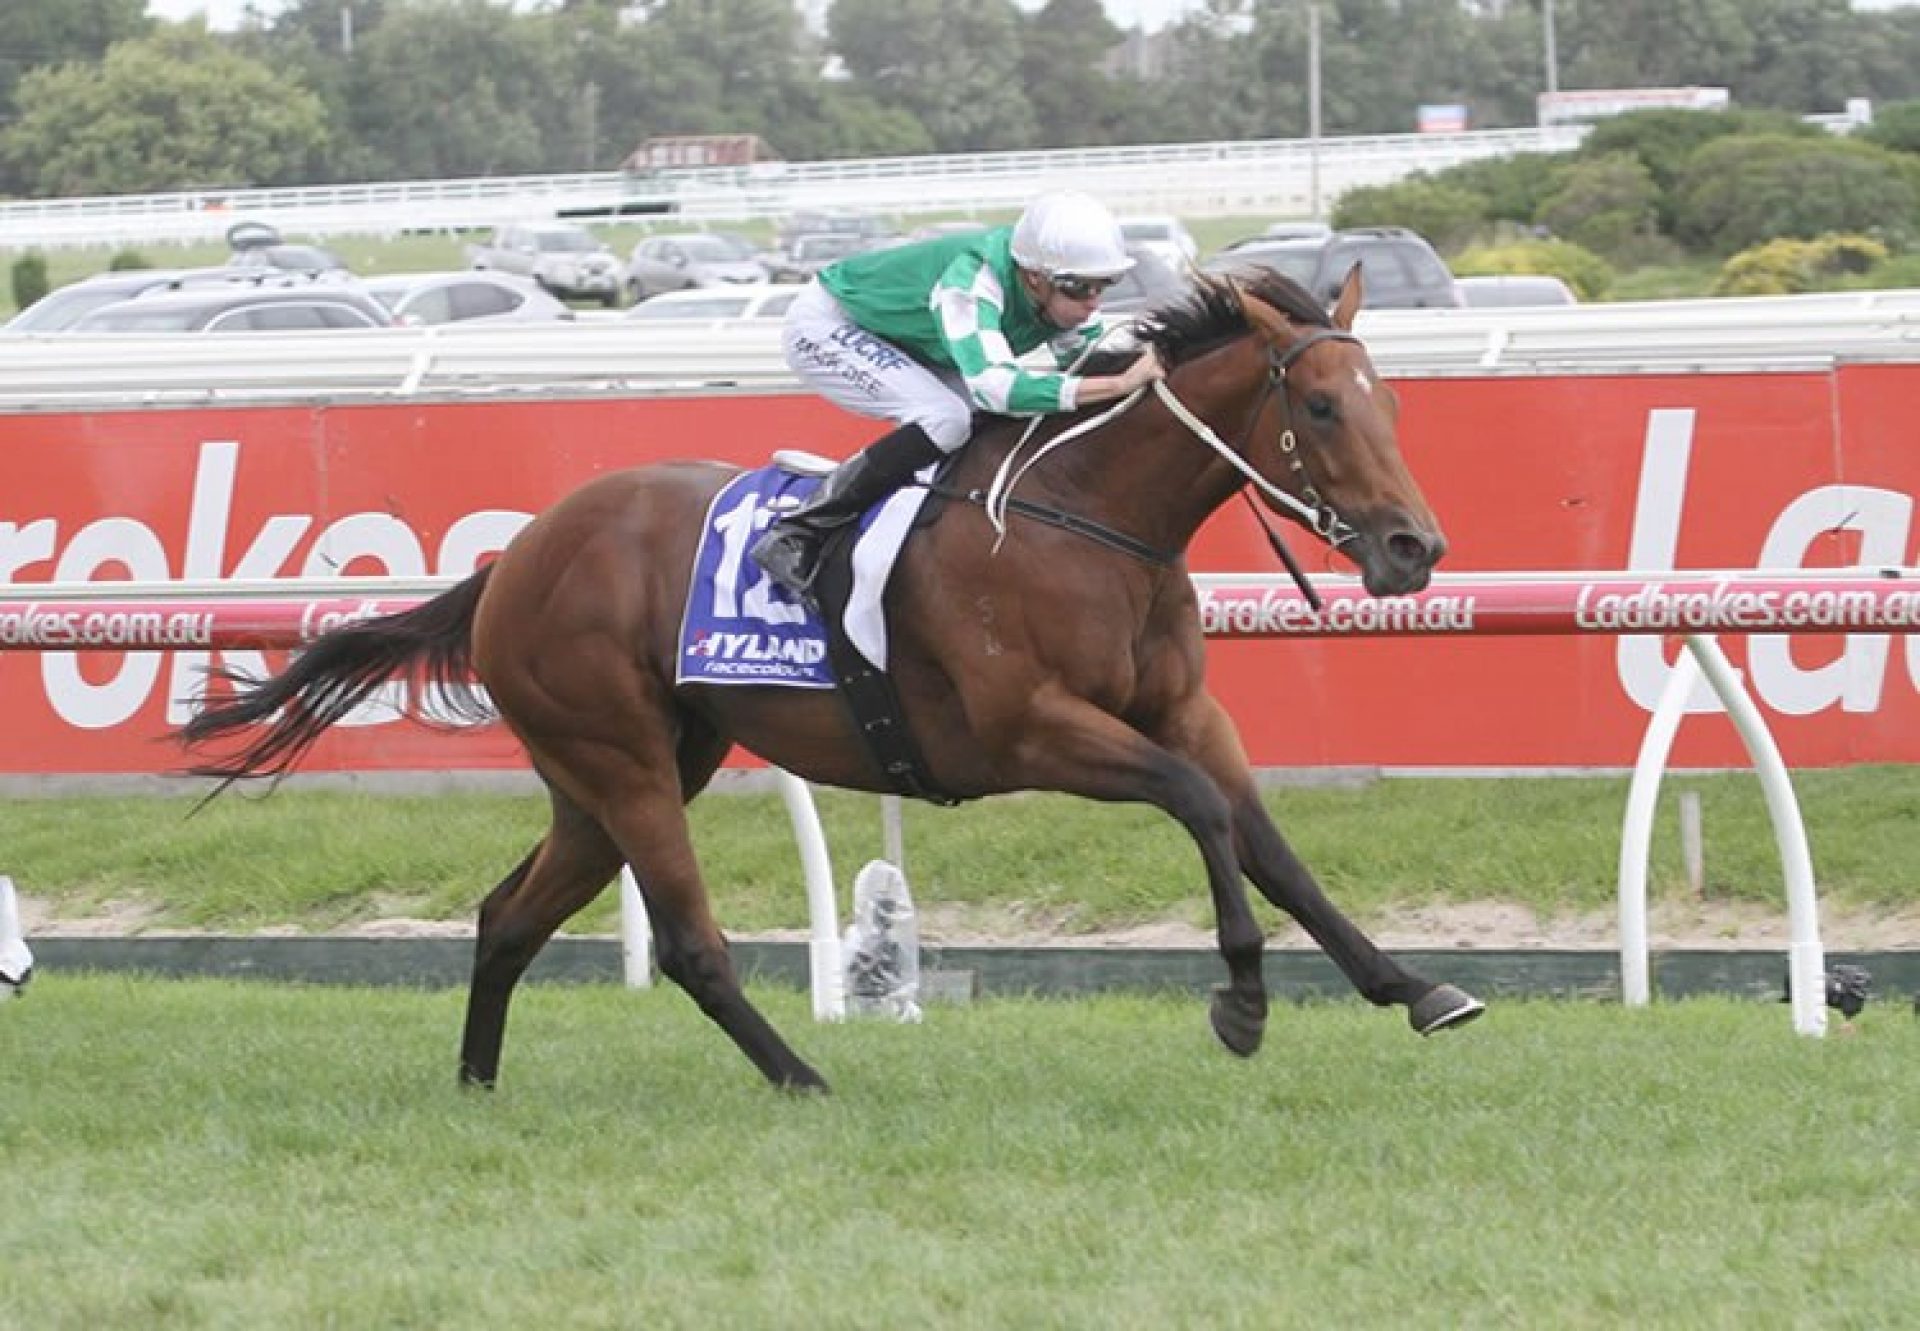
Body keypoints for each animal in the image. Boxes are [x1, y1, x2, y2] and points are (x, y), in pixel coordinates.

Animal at [180, 263, 1489, 1090]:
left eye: (1388, 399)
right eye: (1318, 404)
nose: (1414, 547)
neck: (1089, 517)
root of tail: (512, 562)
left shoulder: (1182, 709)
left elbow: (1268, 840)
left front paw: (1415, 986)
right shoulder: (1031, 731)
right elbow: (1204, 809)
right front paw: (1243, 1002)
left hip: (616, 772)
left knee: (509, 914)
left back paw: (476, 1082)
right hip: (621, 757)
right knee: (690, 941)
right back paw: (801, 1074)